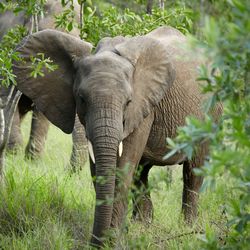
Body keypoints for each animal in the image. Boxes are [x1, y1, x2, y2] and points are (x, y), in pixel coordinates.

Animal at [12, 26, 222, 247]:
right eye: (81, 98)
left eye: (128, 101)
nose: (95, 243)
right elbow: (101, 170)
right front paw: (106, 241)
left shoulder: (143, 106)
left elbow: (122, 169)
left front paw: (111, 243)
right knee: (141, 173)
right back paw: (143, 226)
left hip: (211, 113)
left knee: (194, 171)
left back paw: (188, 228)